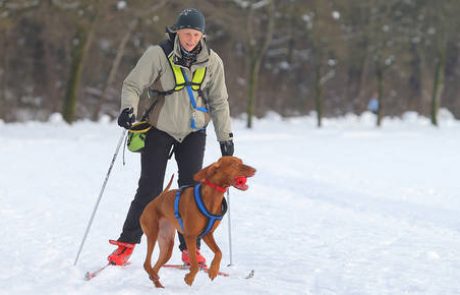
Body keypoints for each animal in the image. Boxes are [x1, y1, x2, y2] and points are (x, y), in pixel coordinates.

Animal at [139, 157, 255, 290]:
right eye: (234, 164)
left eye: (241, 161)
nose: (254, 170)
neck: (211, 198)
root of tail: (156, 200)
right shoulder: (190, 236)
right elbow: (194, 264)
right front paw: (189, 278)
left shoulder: (207, 234)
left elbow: (219, 252)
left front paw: (213, 271)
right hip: (152, 234)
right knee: (146, 263)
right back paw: (153, 276)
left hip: (167, 244)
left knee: (155, 266)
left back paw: (157, 282)